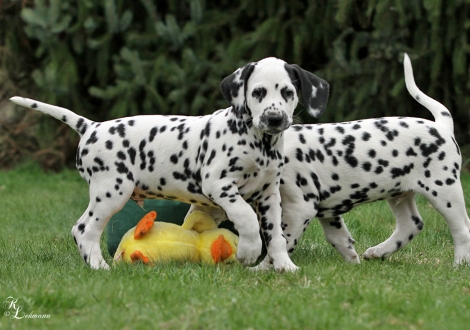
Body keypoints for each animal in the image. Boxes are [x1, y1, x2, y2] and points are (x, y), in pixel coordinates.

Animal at [9, 58, 328, 272]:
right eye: (258, 92)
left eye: (287, 93)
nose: (274, 119)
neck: (258, 142)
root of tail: (91, 126)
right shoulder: (220, 184)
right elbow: (246, 216)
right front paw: (249, 253)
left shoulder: (269, 195)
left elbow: (276, 235)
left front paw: (284, 266)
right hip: (111, 191)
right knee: (83, 229)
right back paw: (99, 267)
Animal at [258, 52, 470, 268]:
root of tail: (442, 126)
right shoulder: (327, 210)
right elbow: (338, 237)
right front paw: (352, 261)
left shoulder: (300, 207)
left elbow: (282, 239)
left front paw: (265, 267)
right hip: (399, 194)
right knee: (411, 224)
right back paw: (379, 251)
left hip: (444, 191)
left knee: (462, 229)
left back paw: (460, 263)